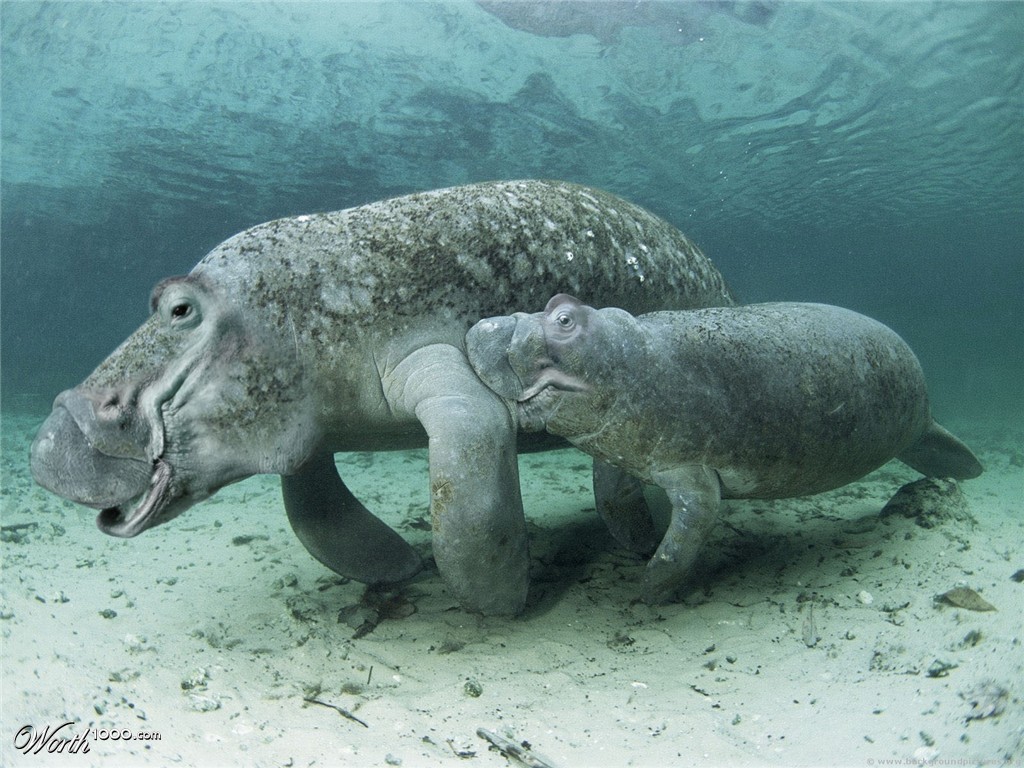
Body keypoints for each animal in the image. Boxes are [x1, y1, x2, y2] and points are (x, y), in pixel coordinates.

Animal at [29, 180, 733, 616]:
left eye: (180, 309)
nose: (49, 441)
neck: (289, 314)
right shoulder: (308, 427)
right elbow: (314, 514)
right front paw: (400, 568)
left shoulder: (440, 367)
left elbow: (469, 487)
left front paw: (500, 604)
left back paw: (638, 541)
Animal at [466, 296, 983, 604]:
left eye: (564, 319)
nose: (482, 324)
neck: (631, 364)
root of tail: (928, 419)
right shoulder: (619, 449)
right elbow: (614, 498)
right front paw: (641, 544)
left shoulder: (695, 476)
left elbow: (686, 535)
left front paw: (646, 591)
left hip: (920, 424)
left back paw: (966, 469)